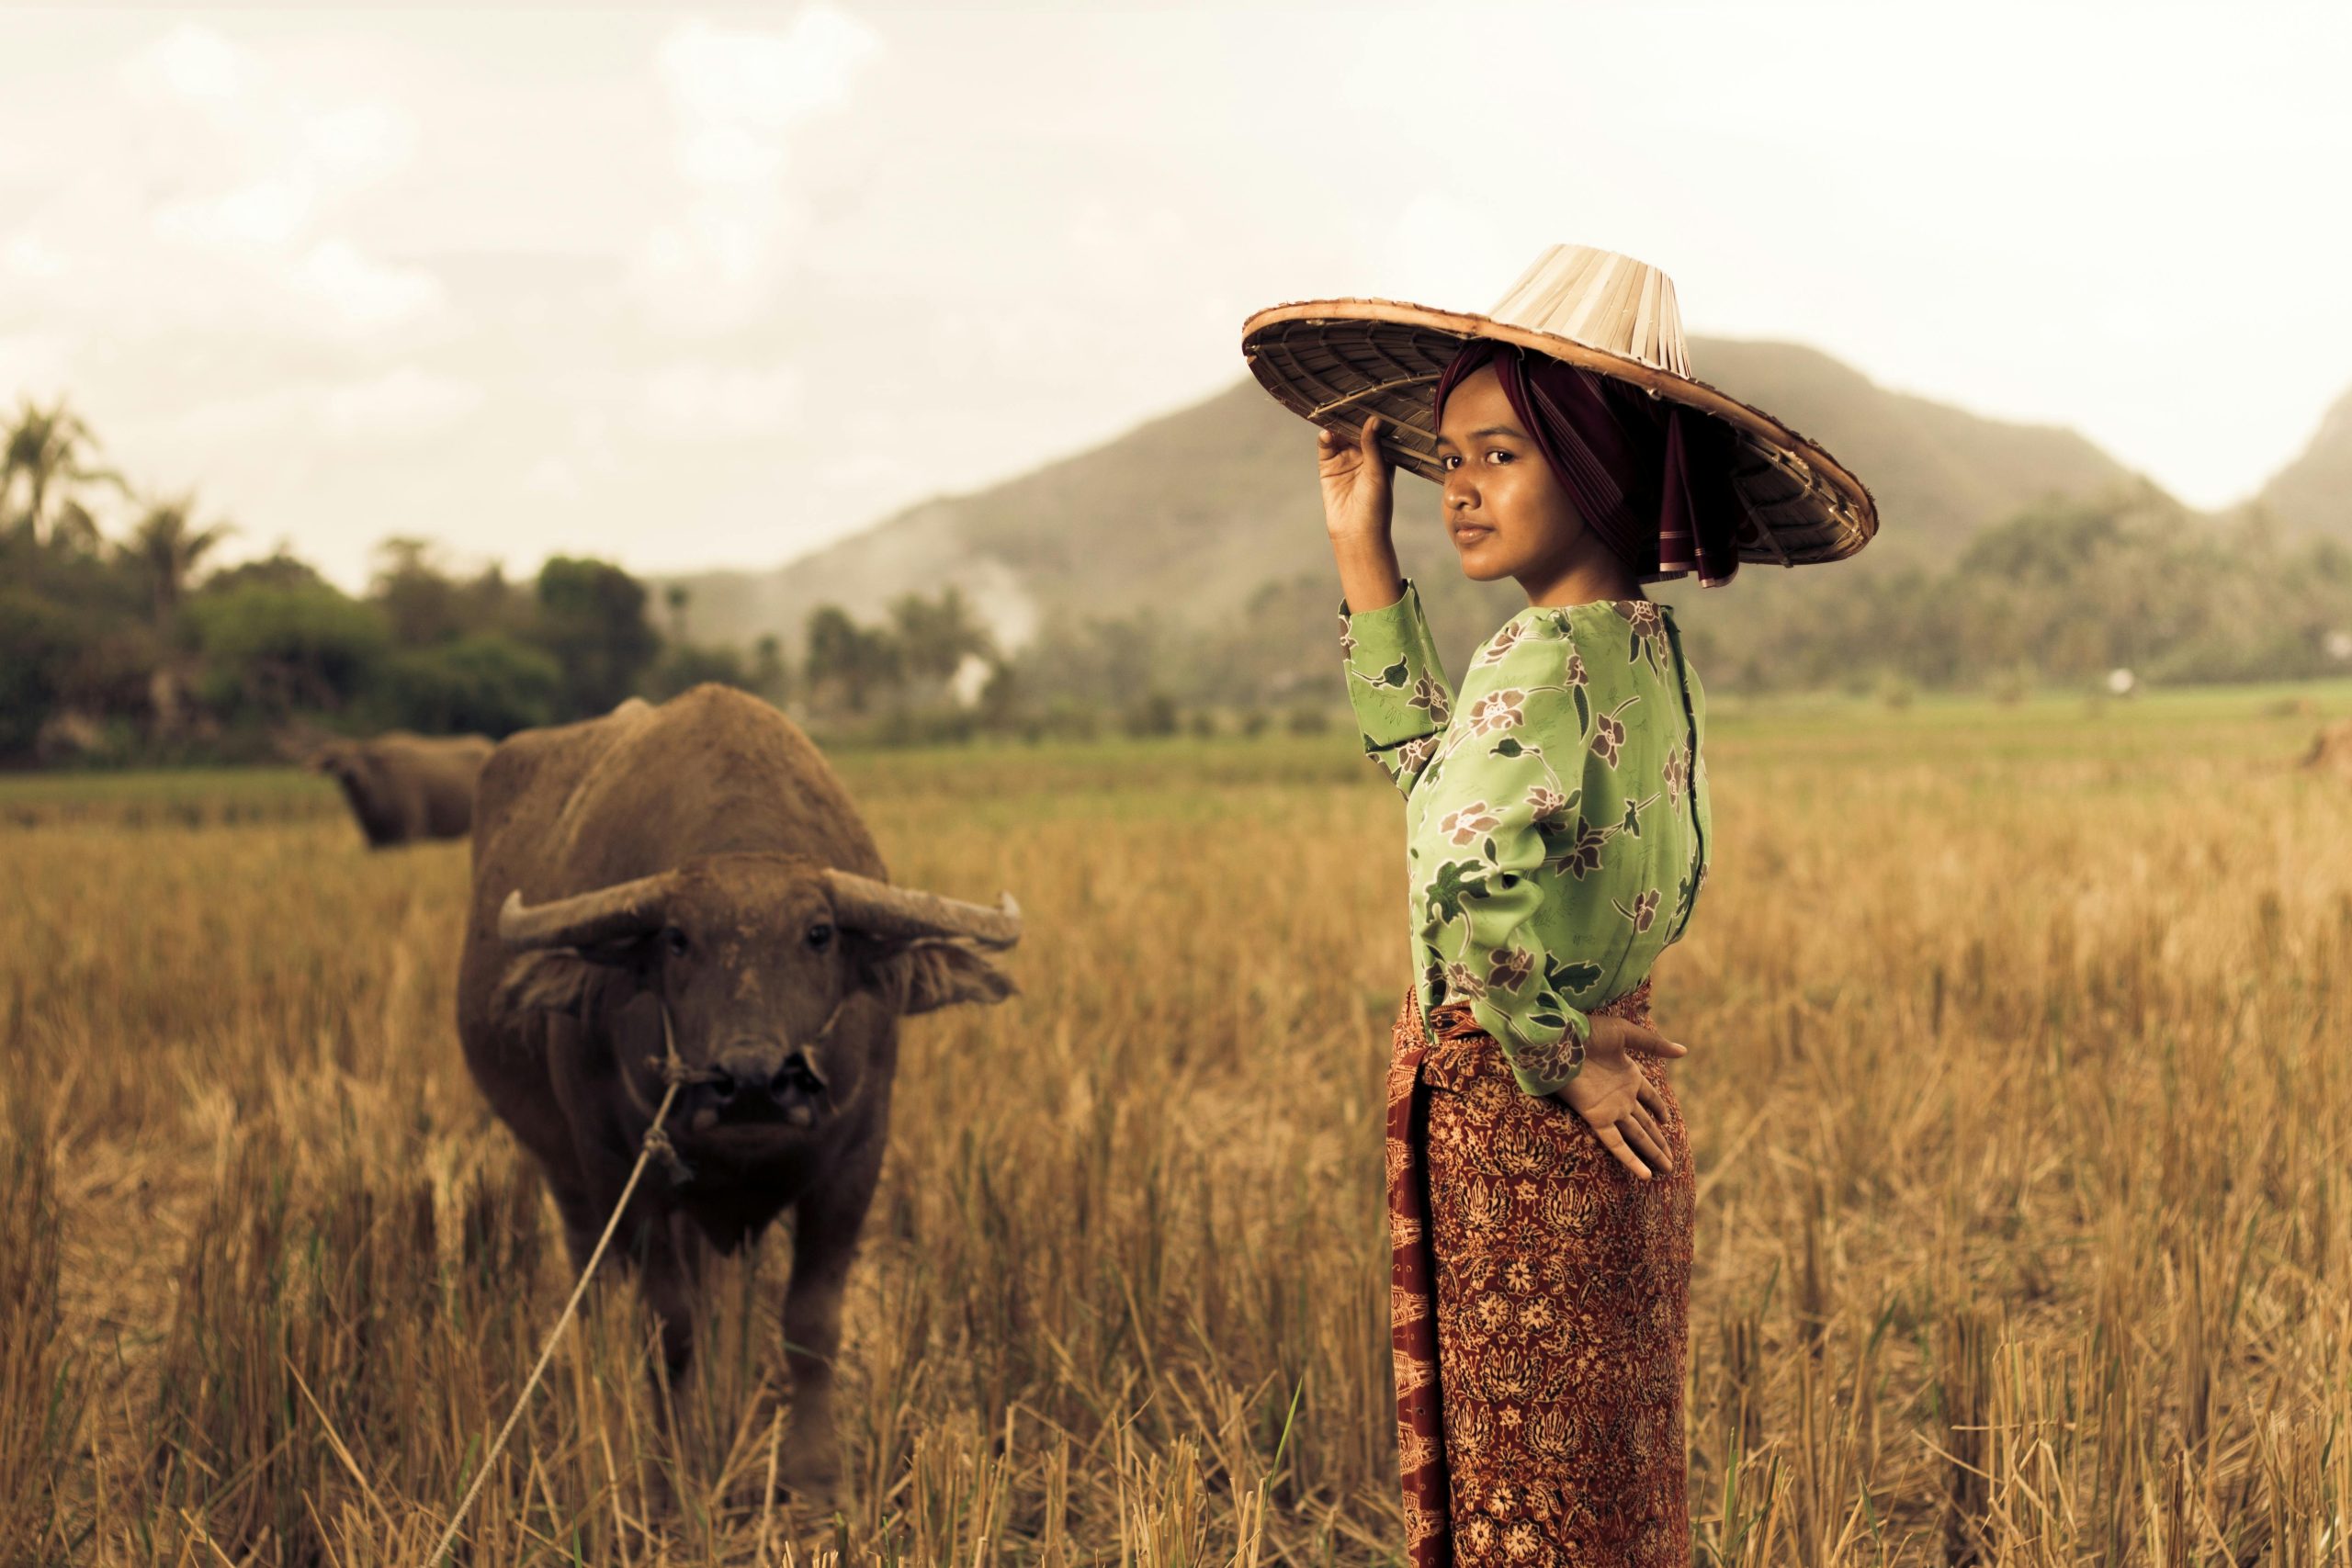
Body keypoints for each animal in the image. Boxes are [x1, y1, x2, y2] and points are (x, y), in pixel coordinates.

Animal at [454, 682, 1015, 1504]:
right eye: (678, 938)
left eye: (819, 933)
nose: (753, 1080)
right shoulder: (621, 1167)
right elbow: (668, 1327)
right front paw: (671, 1469)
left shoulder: (856, 1159)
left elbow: (811, 1323)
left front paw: (816, 1471)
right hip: (566, 1170)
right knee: (596, 1276)